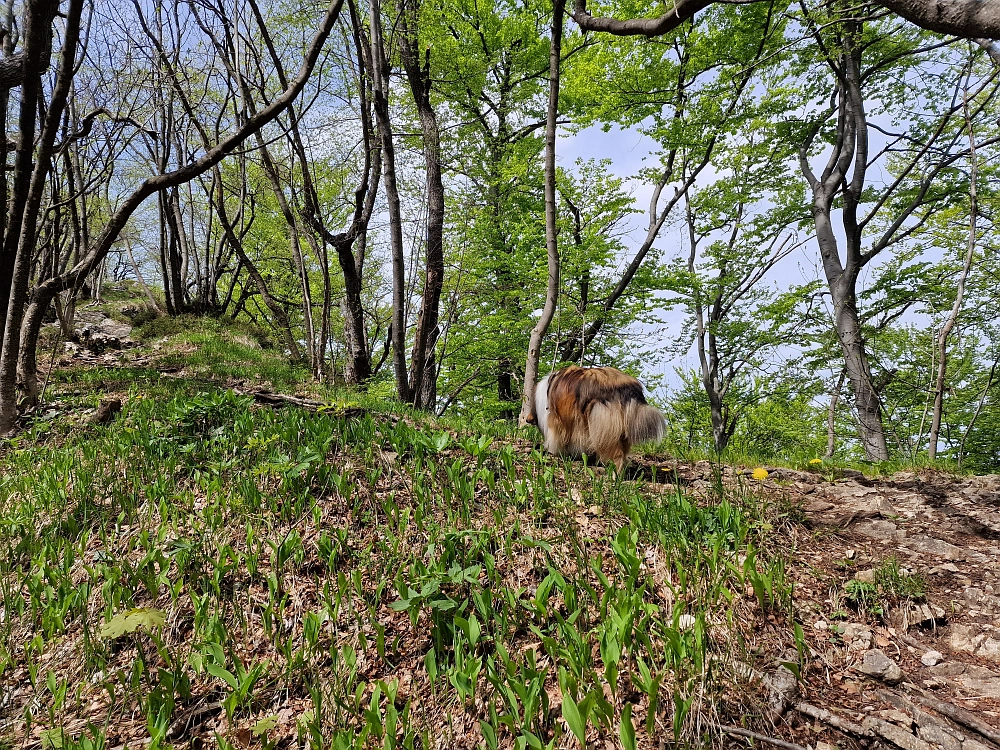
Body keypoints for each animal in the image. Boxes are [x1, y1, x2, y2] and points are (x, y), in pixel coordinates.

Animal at [524, 366, 664, 470]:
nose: (527, 419)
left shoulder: (558, 420)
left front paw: (553, 451)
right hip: (619, 427)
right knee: (622, 451)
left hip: (603, 422)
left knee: (616, 455)